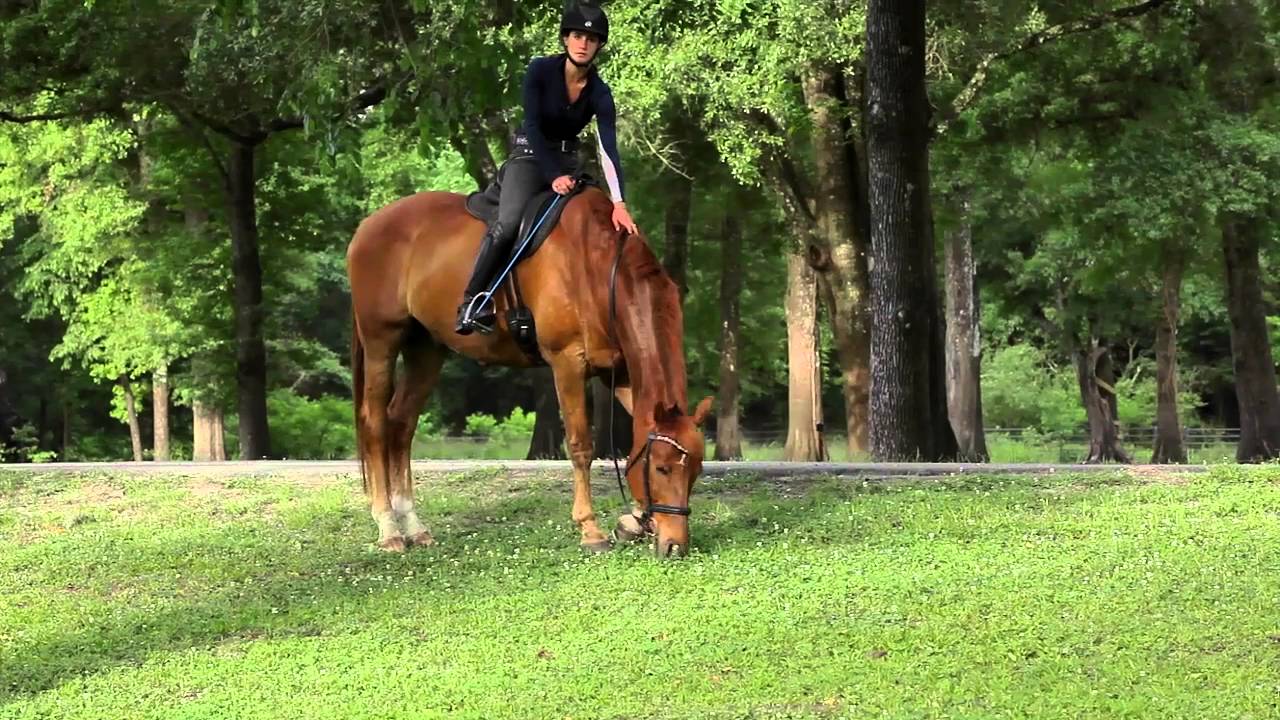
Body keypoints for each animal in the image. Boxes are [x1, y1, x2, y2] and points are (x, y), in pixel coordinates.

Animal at [346, 184, 713, 557]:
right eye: (661, 468)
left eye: (696, 470)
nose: (675, 546)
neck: (595, 265)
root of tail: (368, 225)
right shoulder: (568, 363)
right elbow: (581, 446)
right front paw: (590, 529)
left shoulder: (620, 371)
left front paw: (632, 521)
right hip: (381, 342)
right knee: (376, 423)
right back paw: (388, 527)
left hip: (426, 350)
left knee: (401, 423)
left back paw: (413, 525)